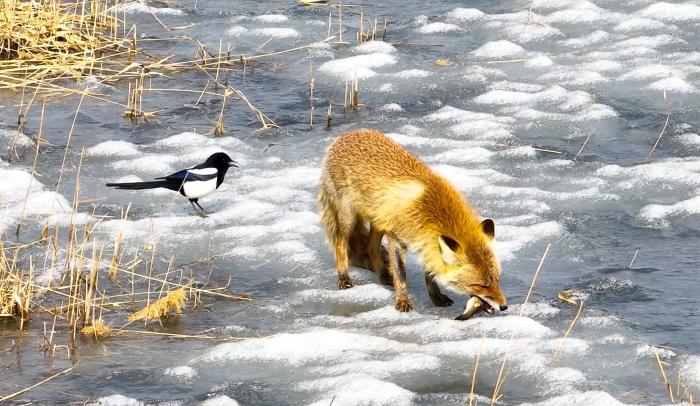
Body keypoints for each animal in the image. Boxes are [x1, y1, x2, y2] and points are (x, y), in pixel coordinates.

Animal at [318, 128, 508, 316]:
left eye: (497, 279)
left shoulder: (426, 242)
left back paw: (383, 276)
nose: (504, 306)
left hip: (379, 222)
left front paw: (437, 298)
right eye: (481, 285)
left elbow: (430, 276)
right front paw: (402, 301)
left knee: (371, 247)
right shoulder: (396, 239)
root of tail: (346, 134)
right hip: (348, 218)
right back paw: (344, 277)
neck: (429, 209)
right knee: (341, 245)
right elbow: (401, 276)